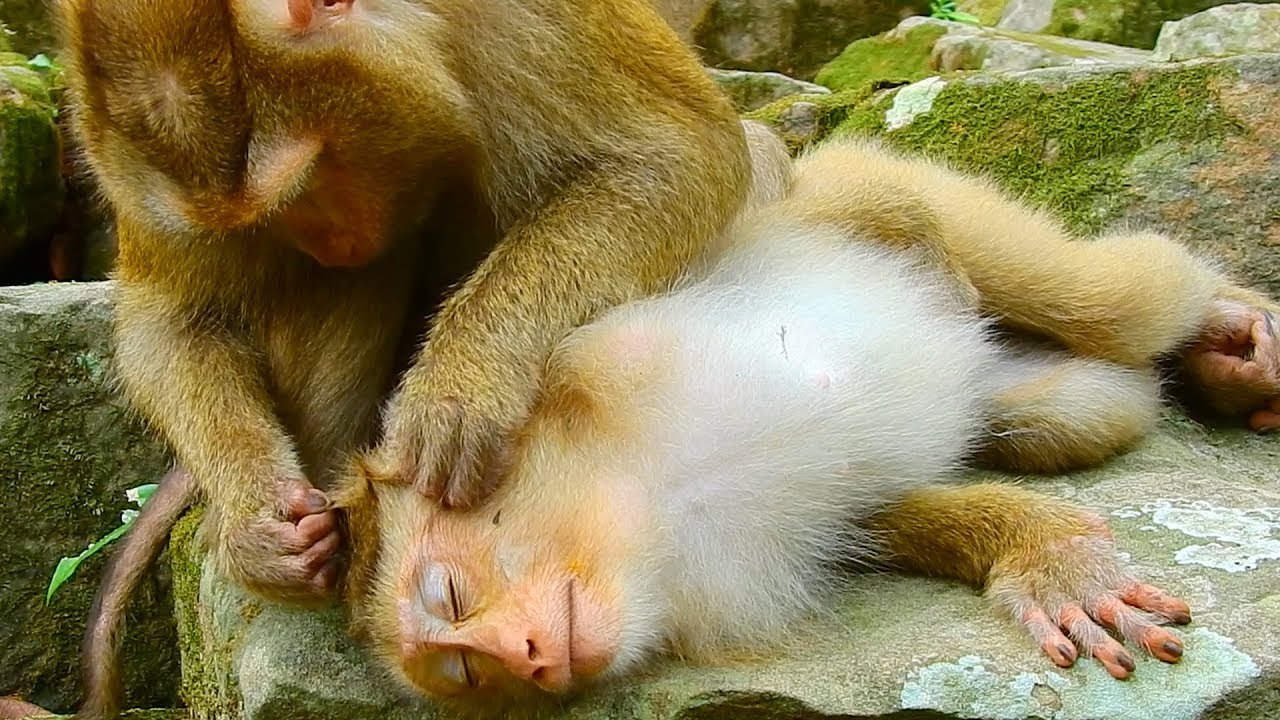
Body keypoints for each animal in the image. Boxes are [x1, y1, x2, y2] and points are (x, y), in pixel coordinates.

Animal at [60, 0, 752, 620]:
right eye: (273, 212)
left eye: (311, 172)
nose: (328, 241)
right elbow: (168, 320)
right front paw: (256, 525)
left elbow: (676, 158)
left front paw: (459, 389)